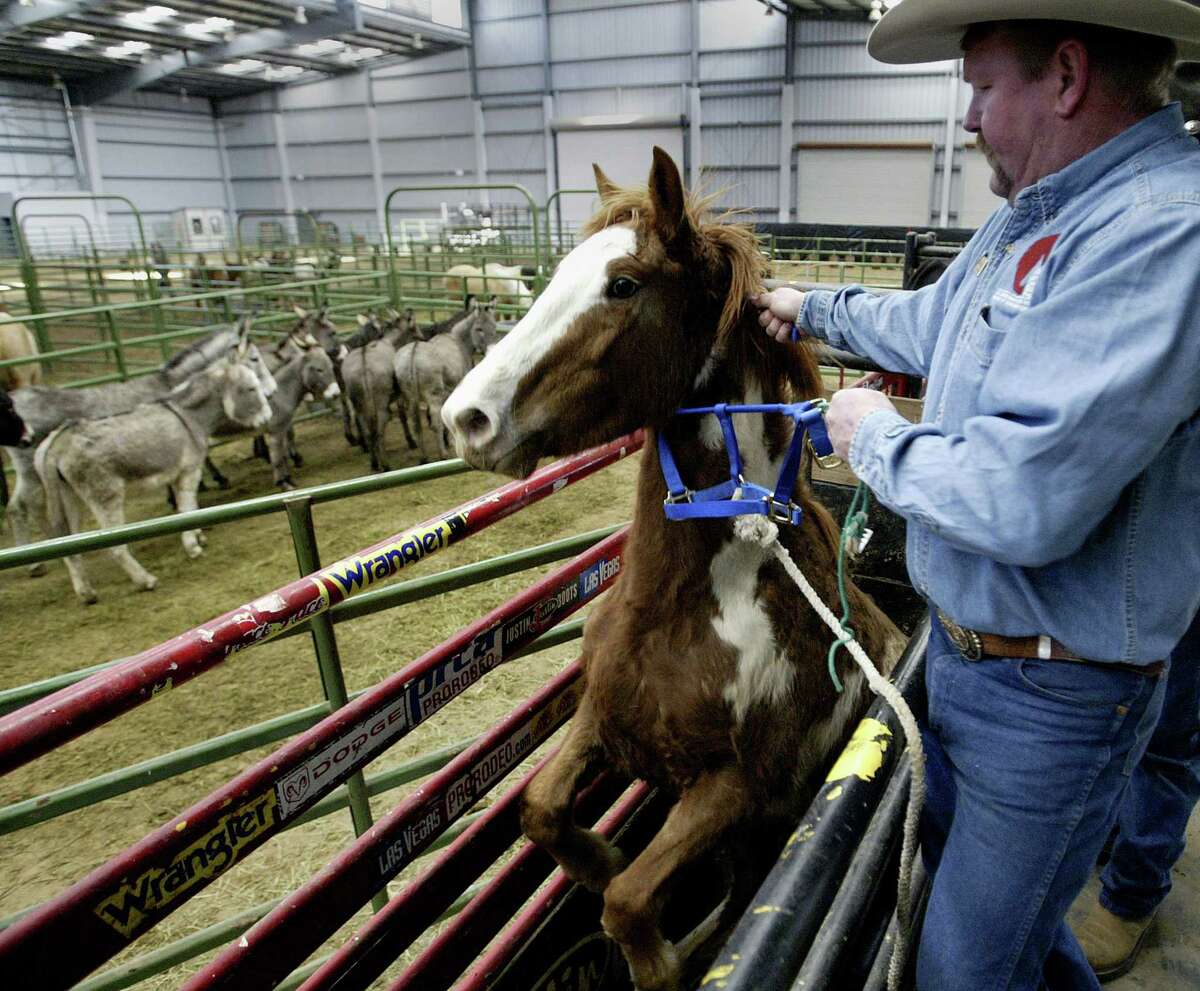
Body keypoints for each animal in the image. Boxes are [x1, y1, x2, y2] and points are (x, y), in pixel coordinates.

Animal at [441, 147, 905, 990]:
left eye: (623, 284)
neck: (682, 611)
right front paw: (597, 855)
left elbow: (628, 899)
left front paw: (653, 951)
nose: (466, 417)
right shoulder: (599, 717)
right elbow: (541, 806)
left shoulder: (729, 789)